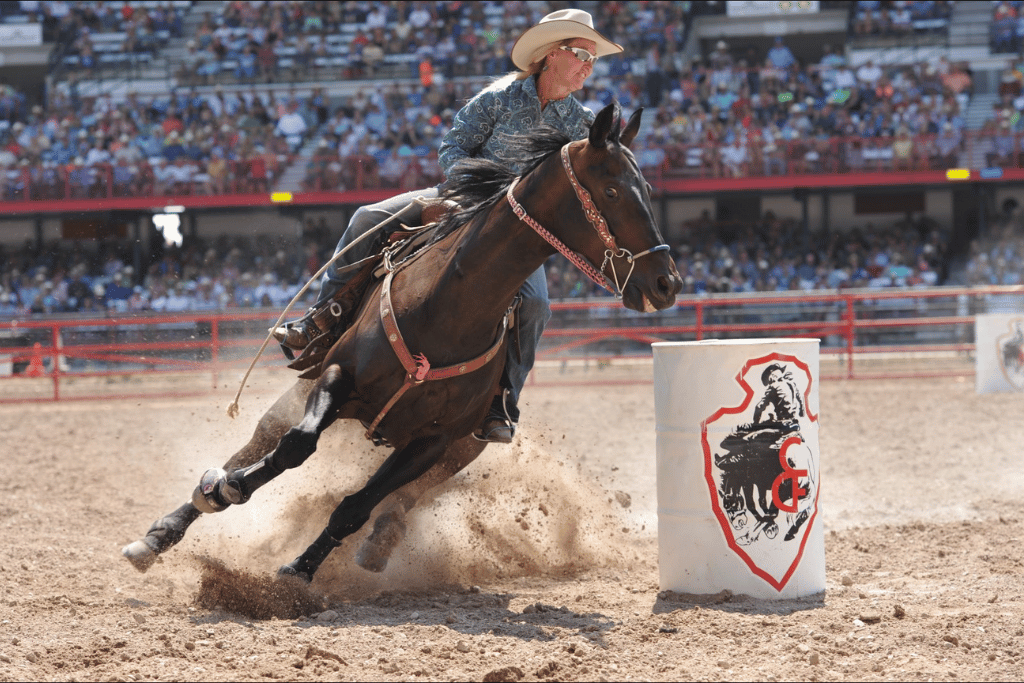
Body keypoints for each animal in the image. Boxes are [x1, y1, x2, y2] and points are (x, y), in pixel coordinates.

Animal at [123, 102, 679, 581]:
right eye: (612, 191)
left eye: (647, 186)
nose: (666, 283)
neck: (448, 307)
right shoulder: (338, 377)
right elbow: (294, 448)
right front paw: (228, 490)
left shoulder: (433, 442)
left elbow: (355, 507)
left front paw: (299, 570)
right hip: (297, 396)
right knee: (257, 445)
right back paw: (167, 528)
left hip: (460, 452)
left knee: (400, 503)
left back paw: (380, 544)